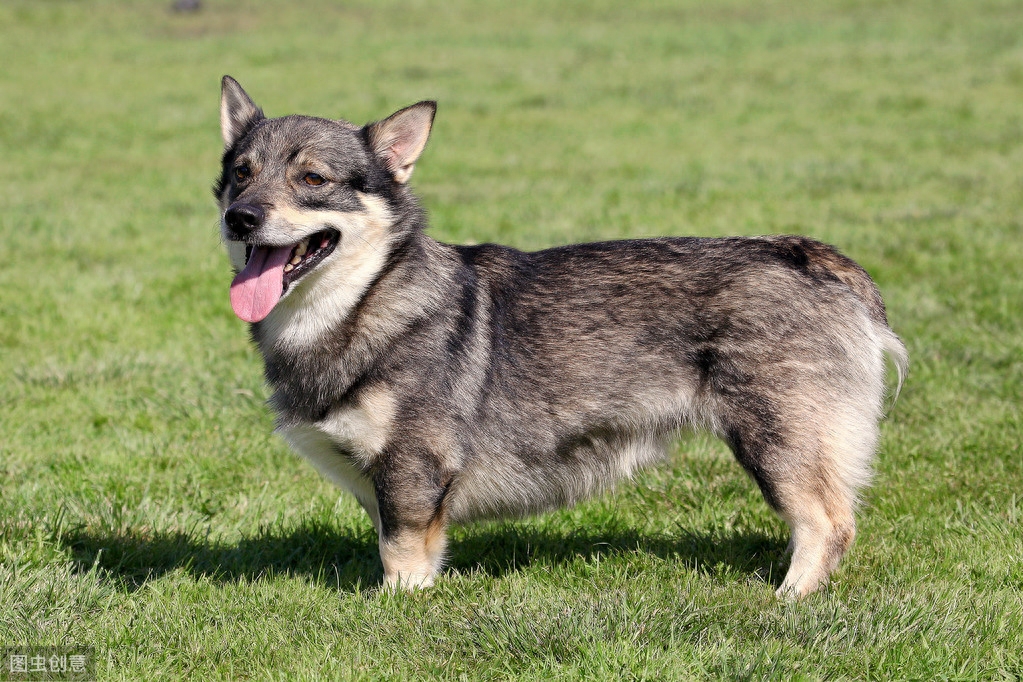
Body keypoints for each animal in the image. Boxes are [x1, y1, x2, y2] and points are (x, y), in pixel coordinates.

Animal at [213, 76, 904, 597]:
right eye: (241, 173)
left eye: (312, 179)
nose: (239, 217)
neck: (366, 299)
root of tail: (809, 257)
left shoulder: (413, 470)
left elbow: (402, 557)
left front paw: (398, 610)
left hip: (777, 439)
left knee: (827, 523)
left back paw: (787, 600)